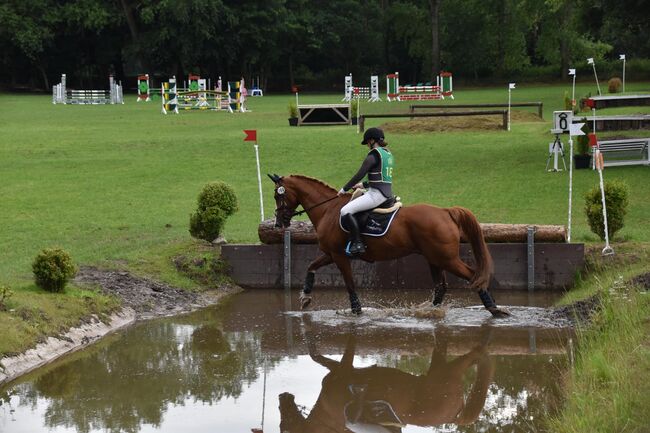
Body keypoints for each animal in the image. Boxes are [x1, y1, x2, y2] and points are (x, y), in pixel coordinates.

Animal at [266, 173, 508, 318]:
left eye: (278, 196)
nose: (278, 223)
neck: (328, 209)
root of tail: (445, 211)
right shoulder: (331, 253)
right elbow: (311, 267)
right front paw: (306, 297)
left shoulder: (339, 256)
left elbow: (349, 284)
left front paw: (356, 310)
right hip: (434, 258)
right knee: (441, 286)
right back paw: (430, 311)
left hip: (446, 258)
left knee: (473, 275)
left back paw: (493, 309)